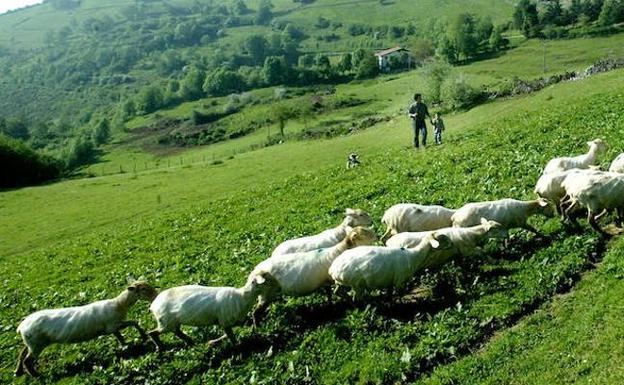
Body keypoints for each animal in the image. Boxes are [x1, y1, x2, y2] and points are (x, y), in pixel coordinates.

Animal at [15, 280, 157, 376]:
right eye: (143, 289)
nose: (156, 296)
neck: (119, 304)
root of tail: (21, 327)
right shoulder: (113, 325)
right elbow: (134, 322)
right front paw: (143, 336)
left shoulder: (111, 328)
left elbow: (119, 336)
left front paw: (125, 345)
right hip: (36, 344)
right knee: (27, 360)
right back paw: (35, 375)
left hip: (32, 342)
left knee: (22, 353)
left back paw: (18, 371)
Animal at [147, 272, 276, 350]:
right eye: (267, 281)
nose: (278, 286)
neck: (242, 297)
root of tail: (154, 304)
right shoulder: (225, 321)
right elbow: (231, 336)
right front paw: (237, 347)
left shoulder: (230, 321)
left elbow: (228, 334)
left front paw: (212, 342)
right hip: (165, 322)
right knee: (152, 333)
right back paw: (160, 347)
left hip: (172, 322)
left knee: (177, 332)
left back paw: (190, 342)